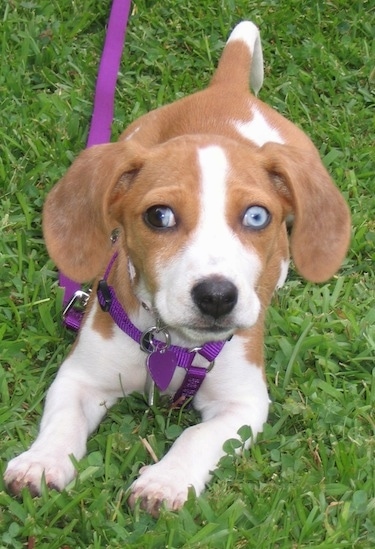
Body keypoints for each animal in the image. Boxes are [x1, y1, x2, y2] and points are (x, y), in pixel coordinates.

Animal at [4, 20, 352, 512]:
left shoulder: (243, 404)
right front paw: (42, 461)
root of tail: (227, 91)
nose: (216, 297)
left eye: (256, 217)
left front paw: (165, 480)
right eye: (159, 216)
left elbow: (196, 436)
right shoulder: (79, 376)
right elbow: (62, 420)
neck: (173, 344)